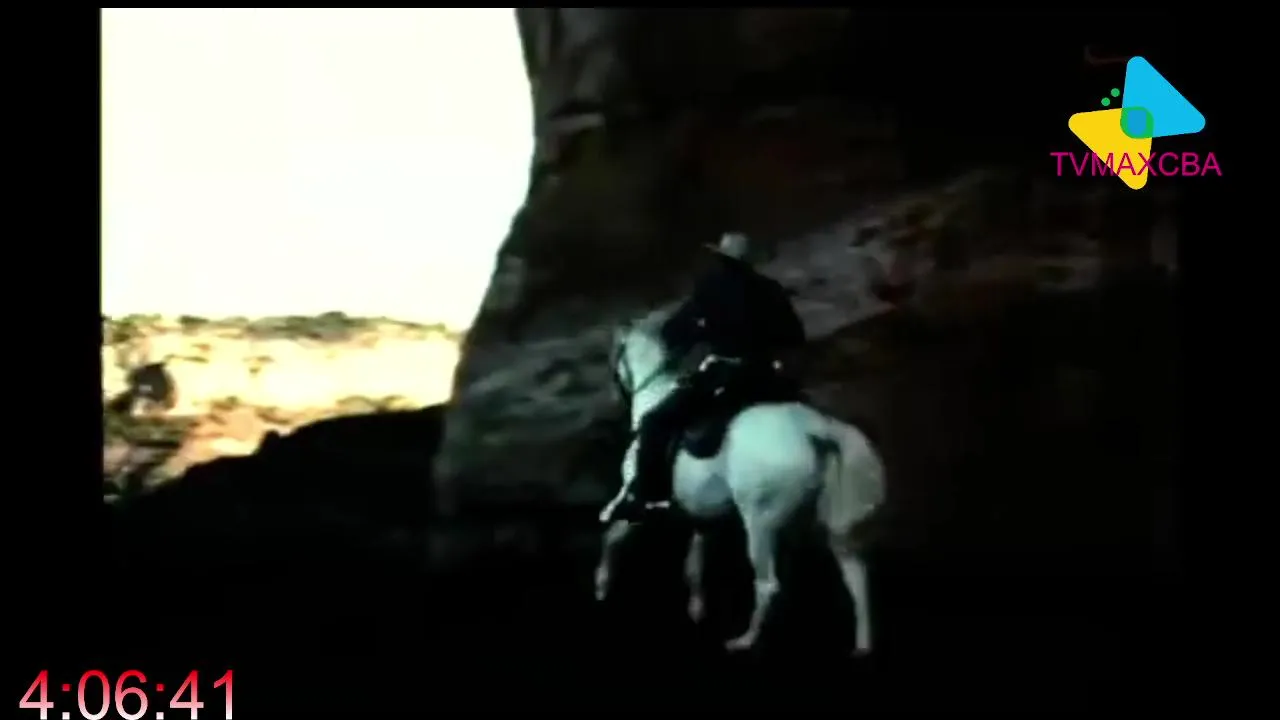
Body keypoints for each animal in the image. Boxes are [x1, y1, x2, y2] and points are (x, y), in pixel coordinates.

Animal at [593, 308, 887, 656]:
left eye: (614, 359)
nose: (615, 395)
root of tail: (815, 431)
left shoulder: (637, 501)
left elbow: (612, 536)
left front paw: (601, 586)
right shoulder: (701, 515)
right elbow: (694, 564)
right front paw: (696, 608)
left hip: (759, 521)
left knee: (769, 583)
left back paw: (745, 640)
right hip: (818, 520)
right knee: (854, 576)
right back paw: (861, 645)